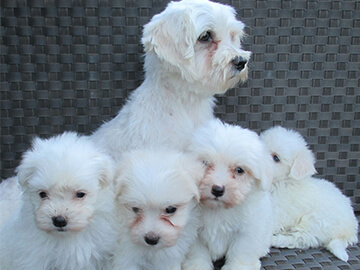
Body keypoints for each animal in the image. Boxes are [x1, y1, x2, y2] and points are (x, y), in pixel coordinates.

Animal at [183, 119, 272, 270]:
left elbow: (241, 250)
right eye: (205, 163)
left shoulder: (247, 231)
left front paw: (239, 267)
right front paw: (197, 265)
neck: (218, 209)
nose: (217, 189)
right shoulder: (193, 230)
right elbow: (197, 250)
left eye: (239, 170)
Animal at [260, 126, 358, 262]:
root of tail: (350, 230)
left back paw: (276, 239)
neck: (279, 182)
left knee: (301, 239)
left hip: (314, 222)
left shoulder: (276, 213)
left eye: (276, 158)